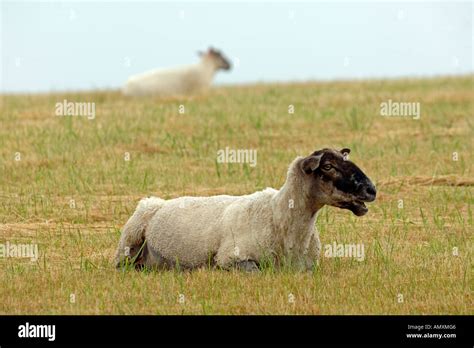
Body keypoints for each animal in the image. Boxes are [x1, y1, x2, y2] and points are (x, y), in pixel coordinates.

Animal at [113, 147, 376, 272]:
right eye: (328, 166)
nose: (371, 189)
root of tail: (159, 201)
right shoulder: (230, 259)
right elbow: (253, 270)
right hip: (127, 244)